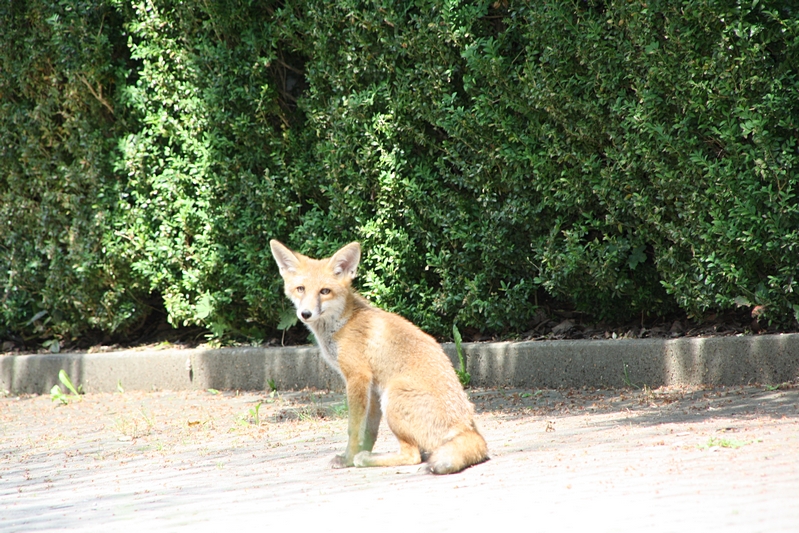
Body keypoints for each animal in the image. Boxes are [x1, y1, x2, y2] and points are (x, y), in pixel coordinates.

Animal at [269, 239, 488, 474]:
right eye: (300, 289)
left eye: (325, 291)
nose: (305, 314)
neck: (343, 323)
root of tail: (468, 429)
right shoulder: (372, 389)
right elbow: (368, 432)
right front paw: (358, 452)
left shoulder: (357, 377)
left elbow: (353, 429)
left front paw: (348, 459)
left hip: (392, 398)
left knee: (412, 455)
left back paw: (366, 460)